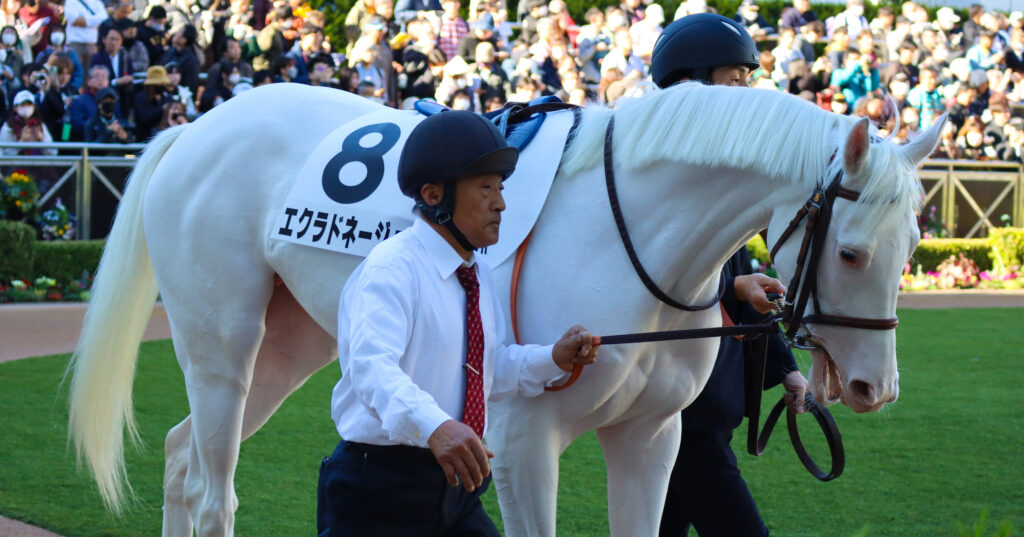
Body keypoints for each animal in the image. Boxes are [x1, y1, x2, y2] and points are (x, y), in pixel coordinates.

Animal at [67, 82, 942, 537]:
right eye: (852, 252)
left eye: (913, 244)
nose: (875, 388)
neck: (634, 238)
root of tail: (197, 127)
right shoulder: (524, 442)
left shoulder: (651, 436)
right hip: (223, 339)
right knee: (213, 488)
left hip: (293, 344)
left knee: (181, 454)